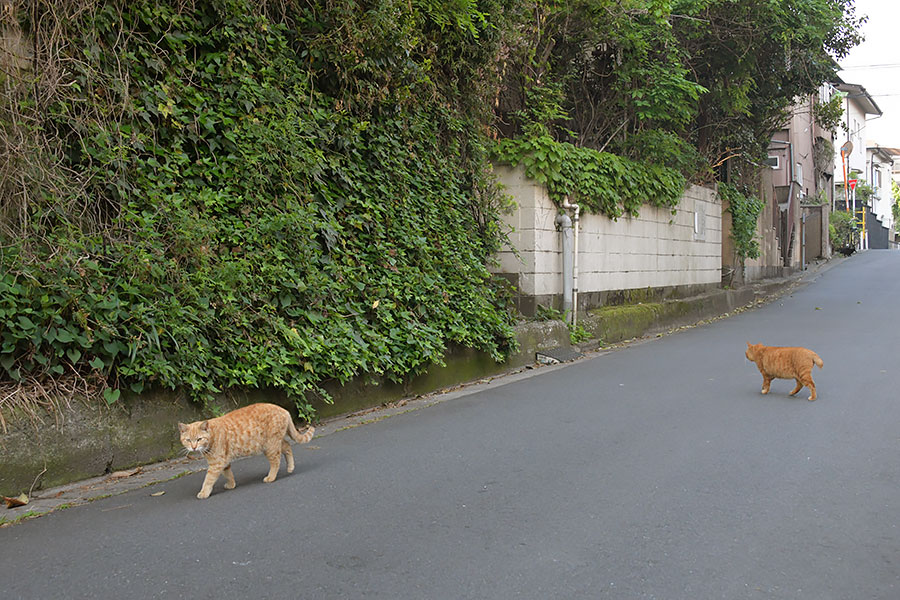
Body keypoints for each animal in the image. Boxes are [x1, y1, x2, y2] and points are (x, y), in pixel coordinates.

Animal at [178, 406, 314, 500]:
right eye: (188, 440)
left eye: (199, 439)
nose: (193, 447)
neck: (211, 436)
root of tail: (284, 410)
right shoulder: (224, 462)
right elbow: (228, 474)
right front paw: (231, 484)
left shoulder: (216, 464)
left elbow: (208, 480)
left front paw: (204, 492)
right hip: (275, 443)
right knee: (287, 446)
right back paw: (290, 467)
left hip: (270, 446)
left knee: (276, 461)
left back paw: (271, 477)